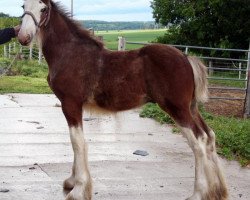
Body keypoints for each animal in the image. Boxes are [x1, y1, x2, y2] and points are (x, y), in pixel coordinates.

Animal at [17, 0, 229, 200]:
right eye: (23, 6)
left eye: (43, 9)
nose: (23, 37)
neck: (69, 53)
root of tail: (186, 57)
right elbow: (77, 141)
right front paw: (72, 181)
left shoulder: (71, 103)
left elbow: (77, 142)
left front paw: (78, 190)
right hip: (191, 107)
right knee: (209, 136)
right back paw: (218, 190)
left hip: (177, 109)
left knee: (198, 142)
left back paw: (199, 193)